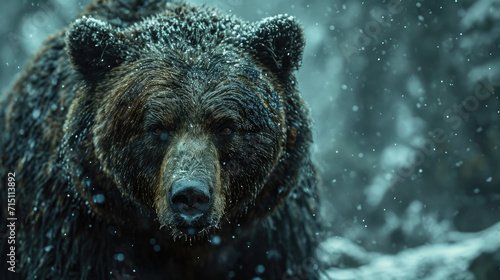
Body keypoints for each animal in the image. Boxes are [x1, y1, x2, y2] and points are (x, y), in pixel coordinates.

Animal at [0, 0, 320, 280]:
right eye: (156, 128)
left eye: (227, 127)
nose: (190, 195)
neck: (182, 246)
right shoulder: (79, 233)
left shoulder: (272, 240)